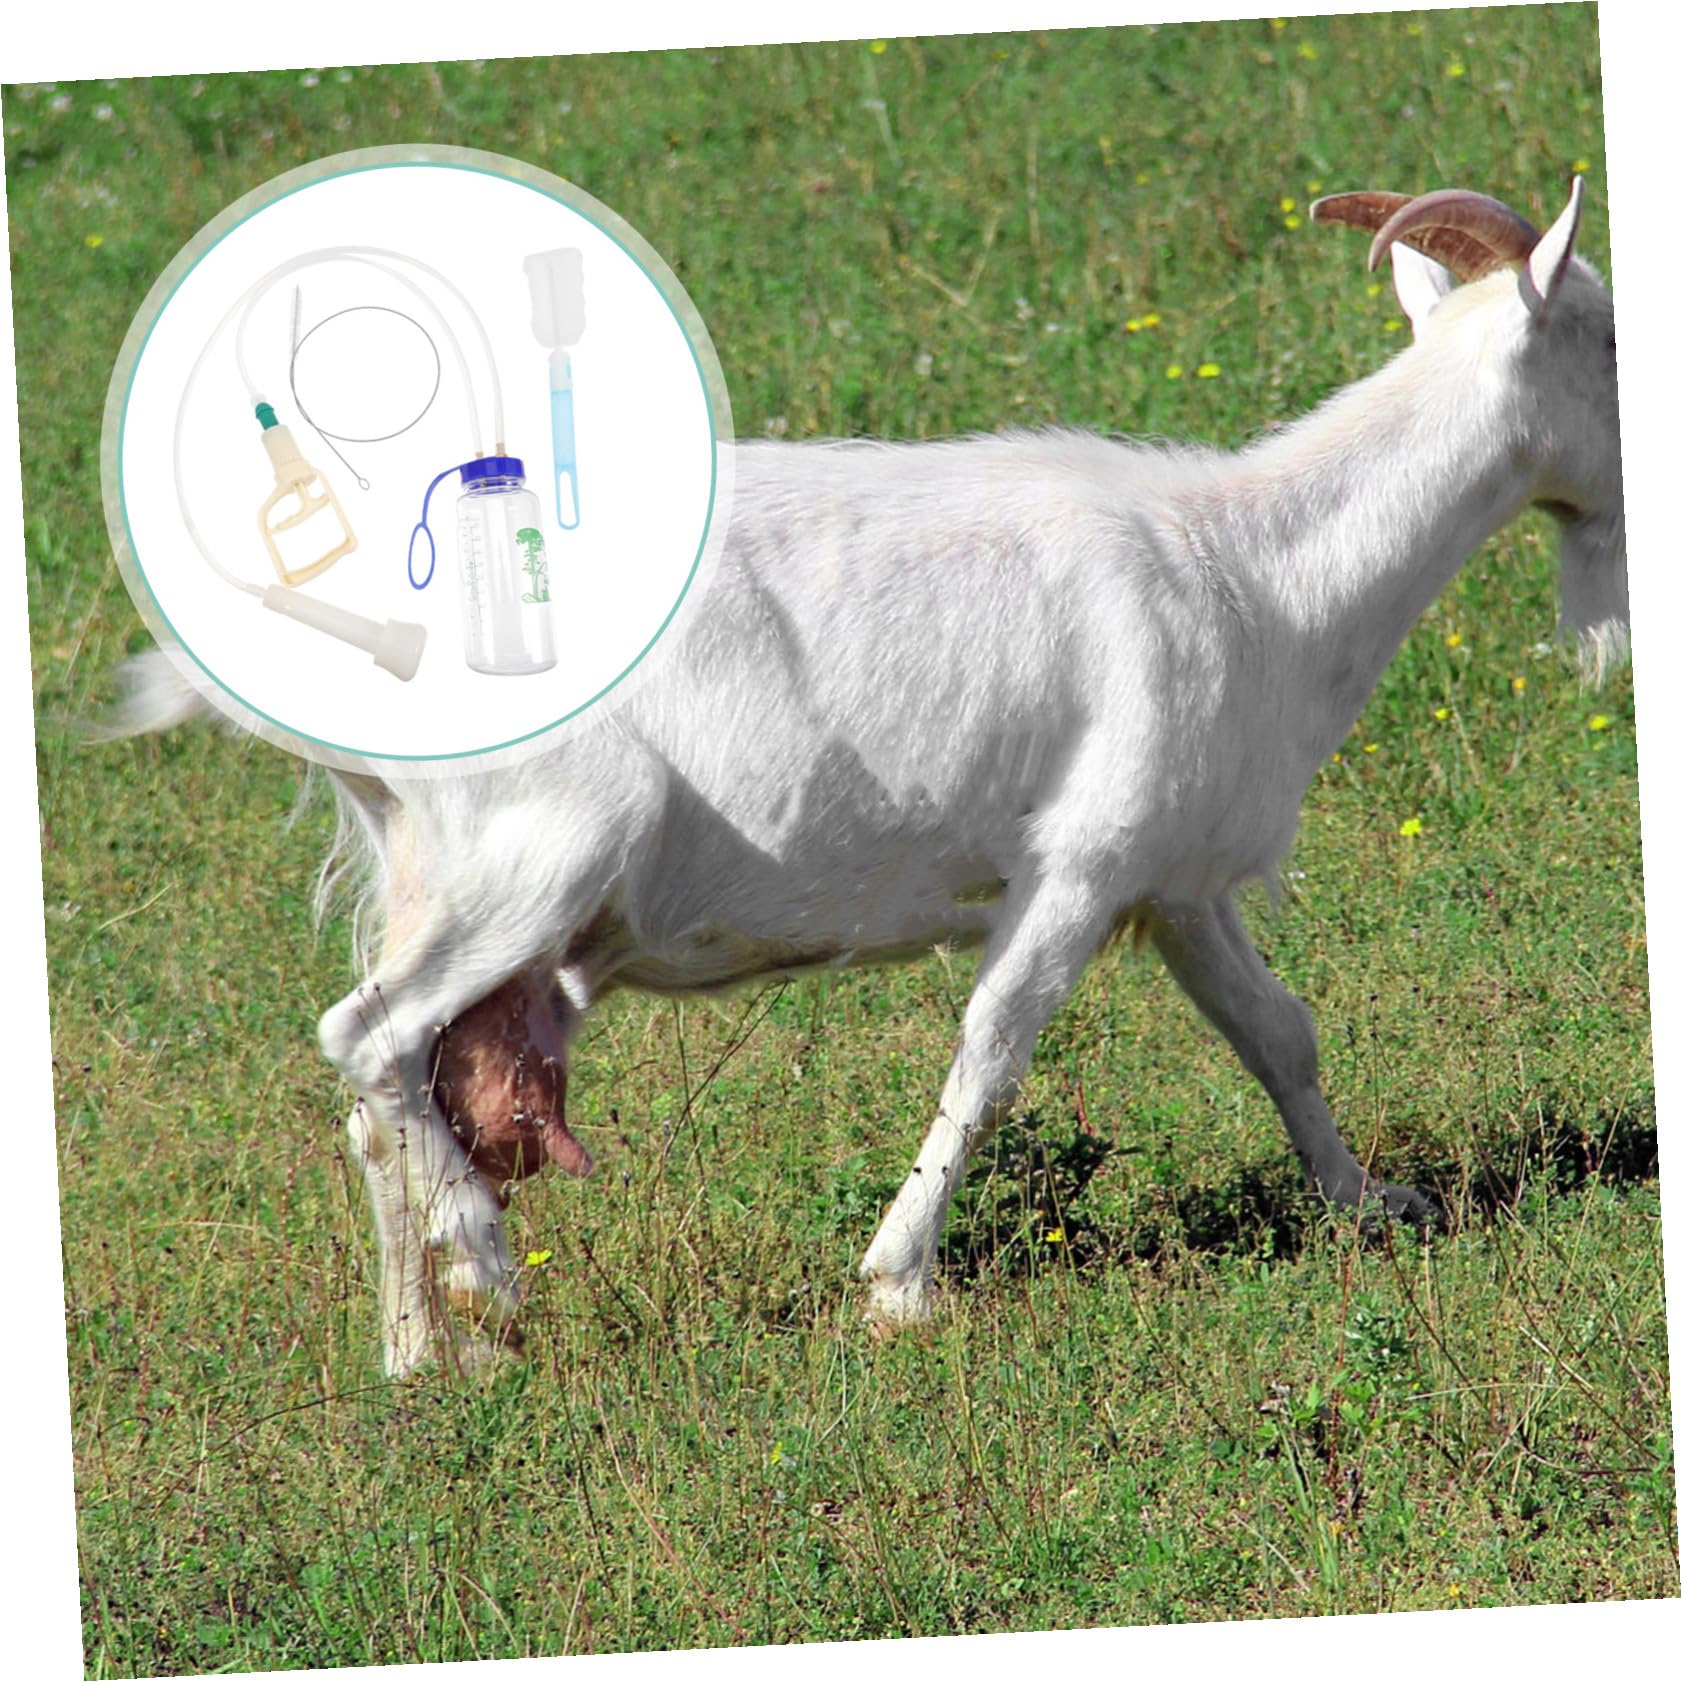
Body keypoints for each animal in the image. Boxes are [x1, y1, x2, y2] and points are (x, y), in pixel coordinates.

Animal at [115, 179, 1626, 1378]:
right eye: (1610, 334)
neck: (1255, 570)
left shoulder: (1173, 875)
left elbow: (1278, 1031)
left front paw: (1370, 1201)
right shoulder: (1077, 860)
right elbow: (991, 1051)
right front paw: (899, 1283)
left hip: (431, 871)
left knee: (386, 1099)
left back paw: (422, 1350)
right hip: (533, 855)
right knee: (366, 1037)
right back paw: (481, 1268)